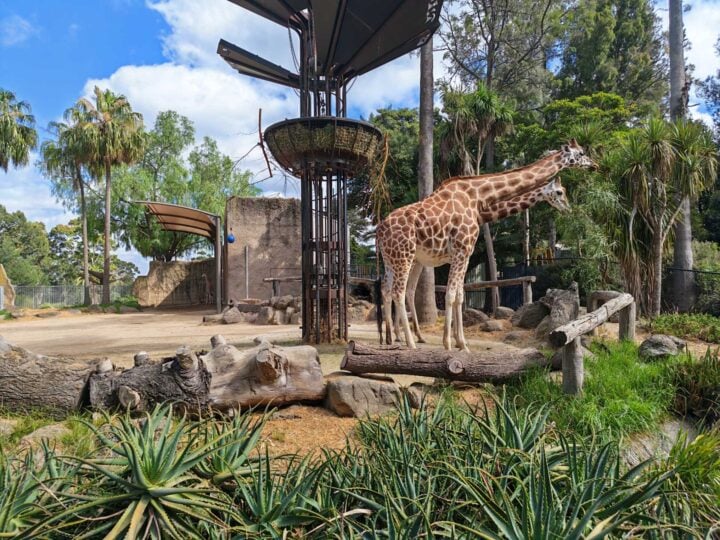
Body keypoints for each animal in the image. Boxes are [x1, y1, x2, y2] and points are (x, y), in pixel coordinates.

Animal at [392, 178, 570, 345]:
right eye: (560, 192)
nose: (568, 208)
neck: (480, 215)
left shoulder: (459, 258)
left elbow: (459, 293)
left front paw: (458, 339)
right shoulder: (460, 256)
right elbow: (456, 294)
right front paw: (456, 340)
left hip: (411, 261)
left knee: (405, 290)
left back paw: (406, 336)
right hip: (407, 259)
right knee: (397, 290)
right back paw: (401, 336)